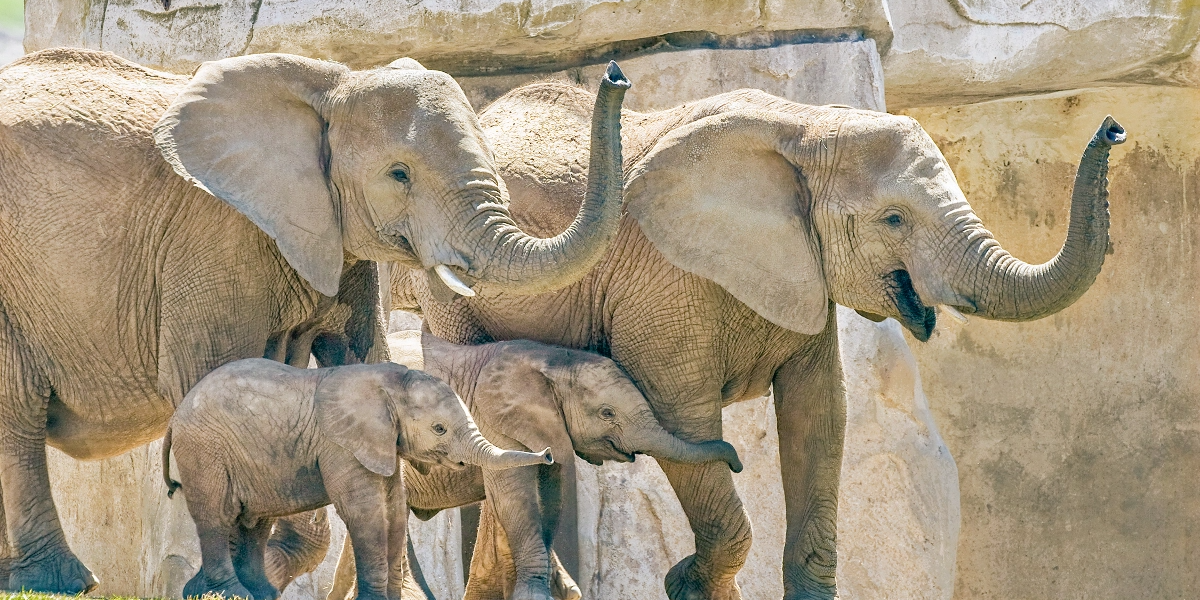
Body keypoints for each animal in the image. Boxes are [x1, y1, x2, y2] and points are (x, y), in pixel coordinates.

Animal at [162, 355, 549, 600]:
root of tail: (175, 416)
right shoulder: (341, 445)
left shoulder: (383, 444)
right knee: (216, 515)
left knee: (254, 521)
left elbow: (394, 513)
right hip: (203, 449)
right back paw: (229, 594)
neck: (390, 382)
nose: (548, 454)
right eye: (439, 428)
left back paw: (256, 594)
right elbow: (367, 513)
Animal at [326, 328, 739, 600]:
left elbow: (550, 493)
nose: (737, 462)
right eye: (607, 413)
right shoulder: (494, 419)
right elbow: (516, 494)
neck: (551, 360)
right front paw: (536, 594)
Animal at [393, 84, 1123, 600]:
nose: (1112, 127)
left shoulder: (803, 269)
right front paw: (687, 584)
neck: (806, 127)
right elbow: (685, 418)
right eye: (894, 219)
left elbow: (818, 416)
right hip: (448, 281)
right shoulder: (665, 279)